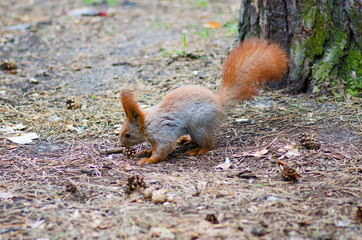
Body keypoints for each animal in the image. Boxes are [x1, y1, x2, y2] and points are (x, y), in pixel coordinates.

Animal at [119, 38, 288, 165]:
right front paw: (147, 151)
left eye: (127, 134)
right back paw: (187, 140)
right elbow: (154, 148)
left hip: (199, 125)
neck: (148, 123)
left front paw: (149, 159)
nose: (120, 144)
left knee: (209, 144)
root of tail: (219, 101)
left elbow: (163, 149)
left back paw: (198, 149)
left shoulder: (162, 133)